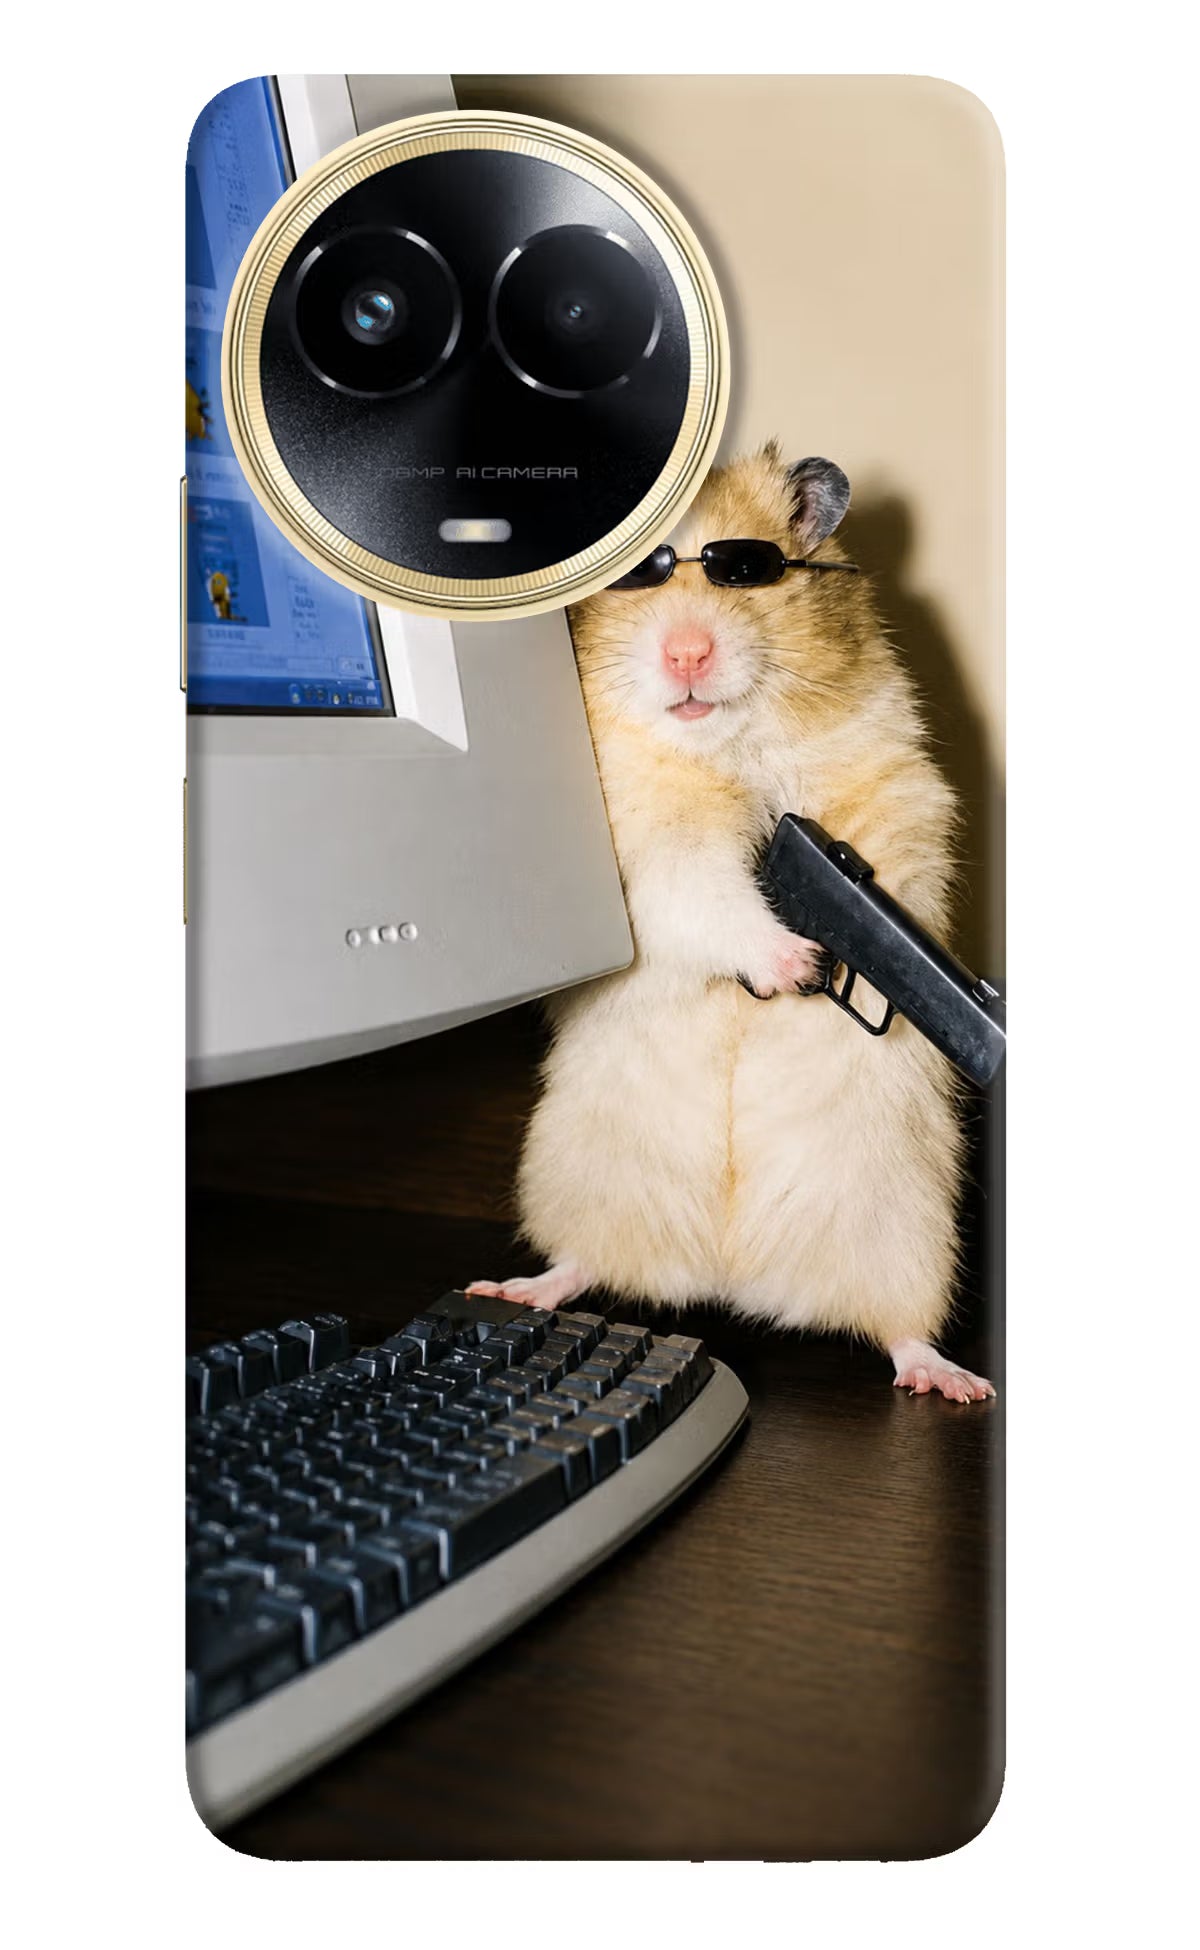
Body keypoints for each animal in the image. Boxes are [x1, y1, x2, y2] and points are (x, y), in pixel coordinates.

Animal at [469, 443, 993, 1403]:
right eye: (636, 576)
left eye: (746, 571)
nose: (686, 652)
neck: (728, 746)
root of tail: (730, 1276)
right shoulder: (648, 850)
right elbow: (707, 895)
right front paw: (796, 964)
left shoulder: (897, 790)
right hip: (579, 1176)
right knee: (582, 1263)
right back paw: (515, 1288)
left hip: (908, 1229)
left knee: (900, 1328)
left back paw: (953, 1381)